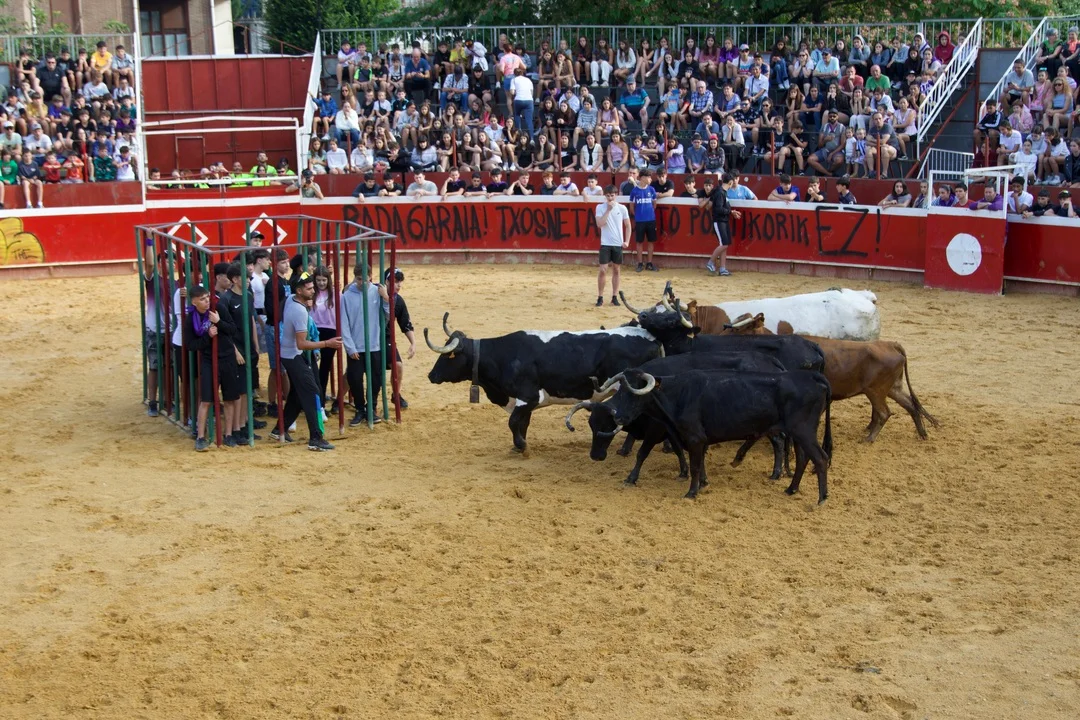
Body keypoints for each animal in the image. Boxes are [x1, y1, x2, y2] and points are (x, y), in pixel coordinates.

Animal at [425, 312, 663, 453]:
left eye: (447, 356)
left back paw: (625, 449)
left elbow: (513, 422)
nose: (431, 375)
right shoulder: (525, 403)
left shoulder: (527, 397)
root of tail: (651, 337)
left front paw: (522, 445)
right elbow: (522, 424)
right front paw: (518, 446)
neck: (504, 357)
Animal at [567, 369, 833, 503]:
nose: (619, 417)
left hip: (803, 431)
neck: (677, 394)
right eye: (620, 391)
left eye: (635, 393)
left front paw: (692, 492)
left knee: (820, 458)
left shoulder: (694, 439)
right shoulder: (691, 439)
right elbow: (697, 462)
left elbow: (694, 465)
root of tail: (813, 377)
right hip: (798, 433)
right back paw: (791, 489)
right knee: (803, 458)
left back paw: (821, 498)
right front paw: (702, 483)